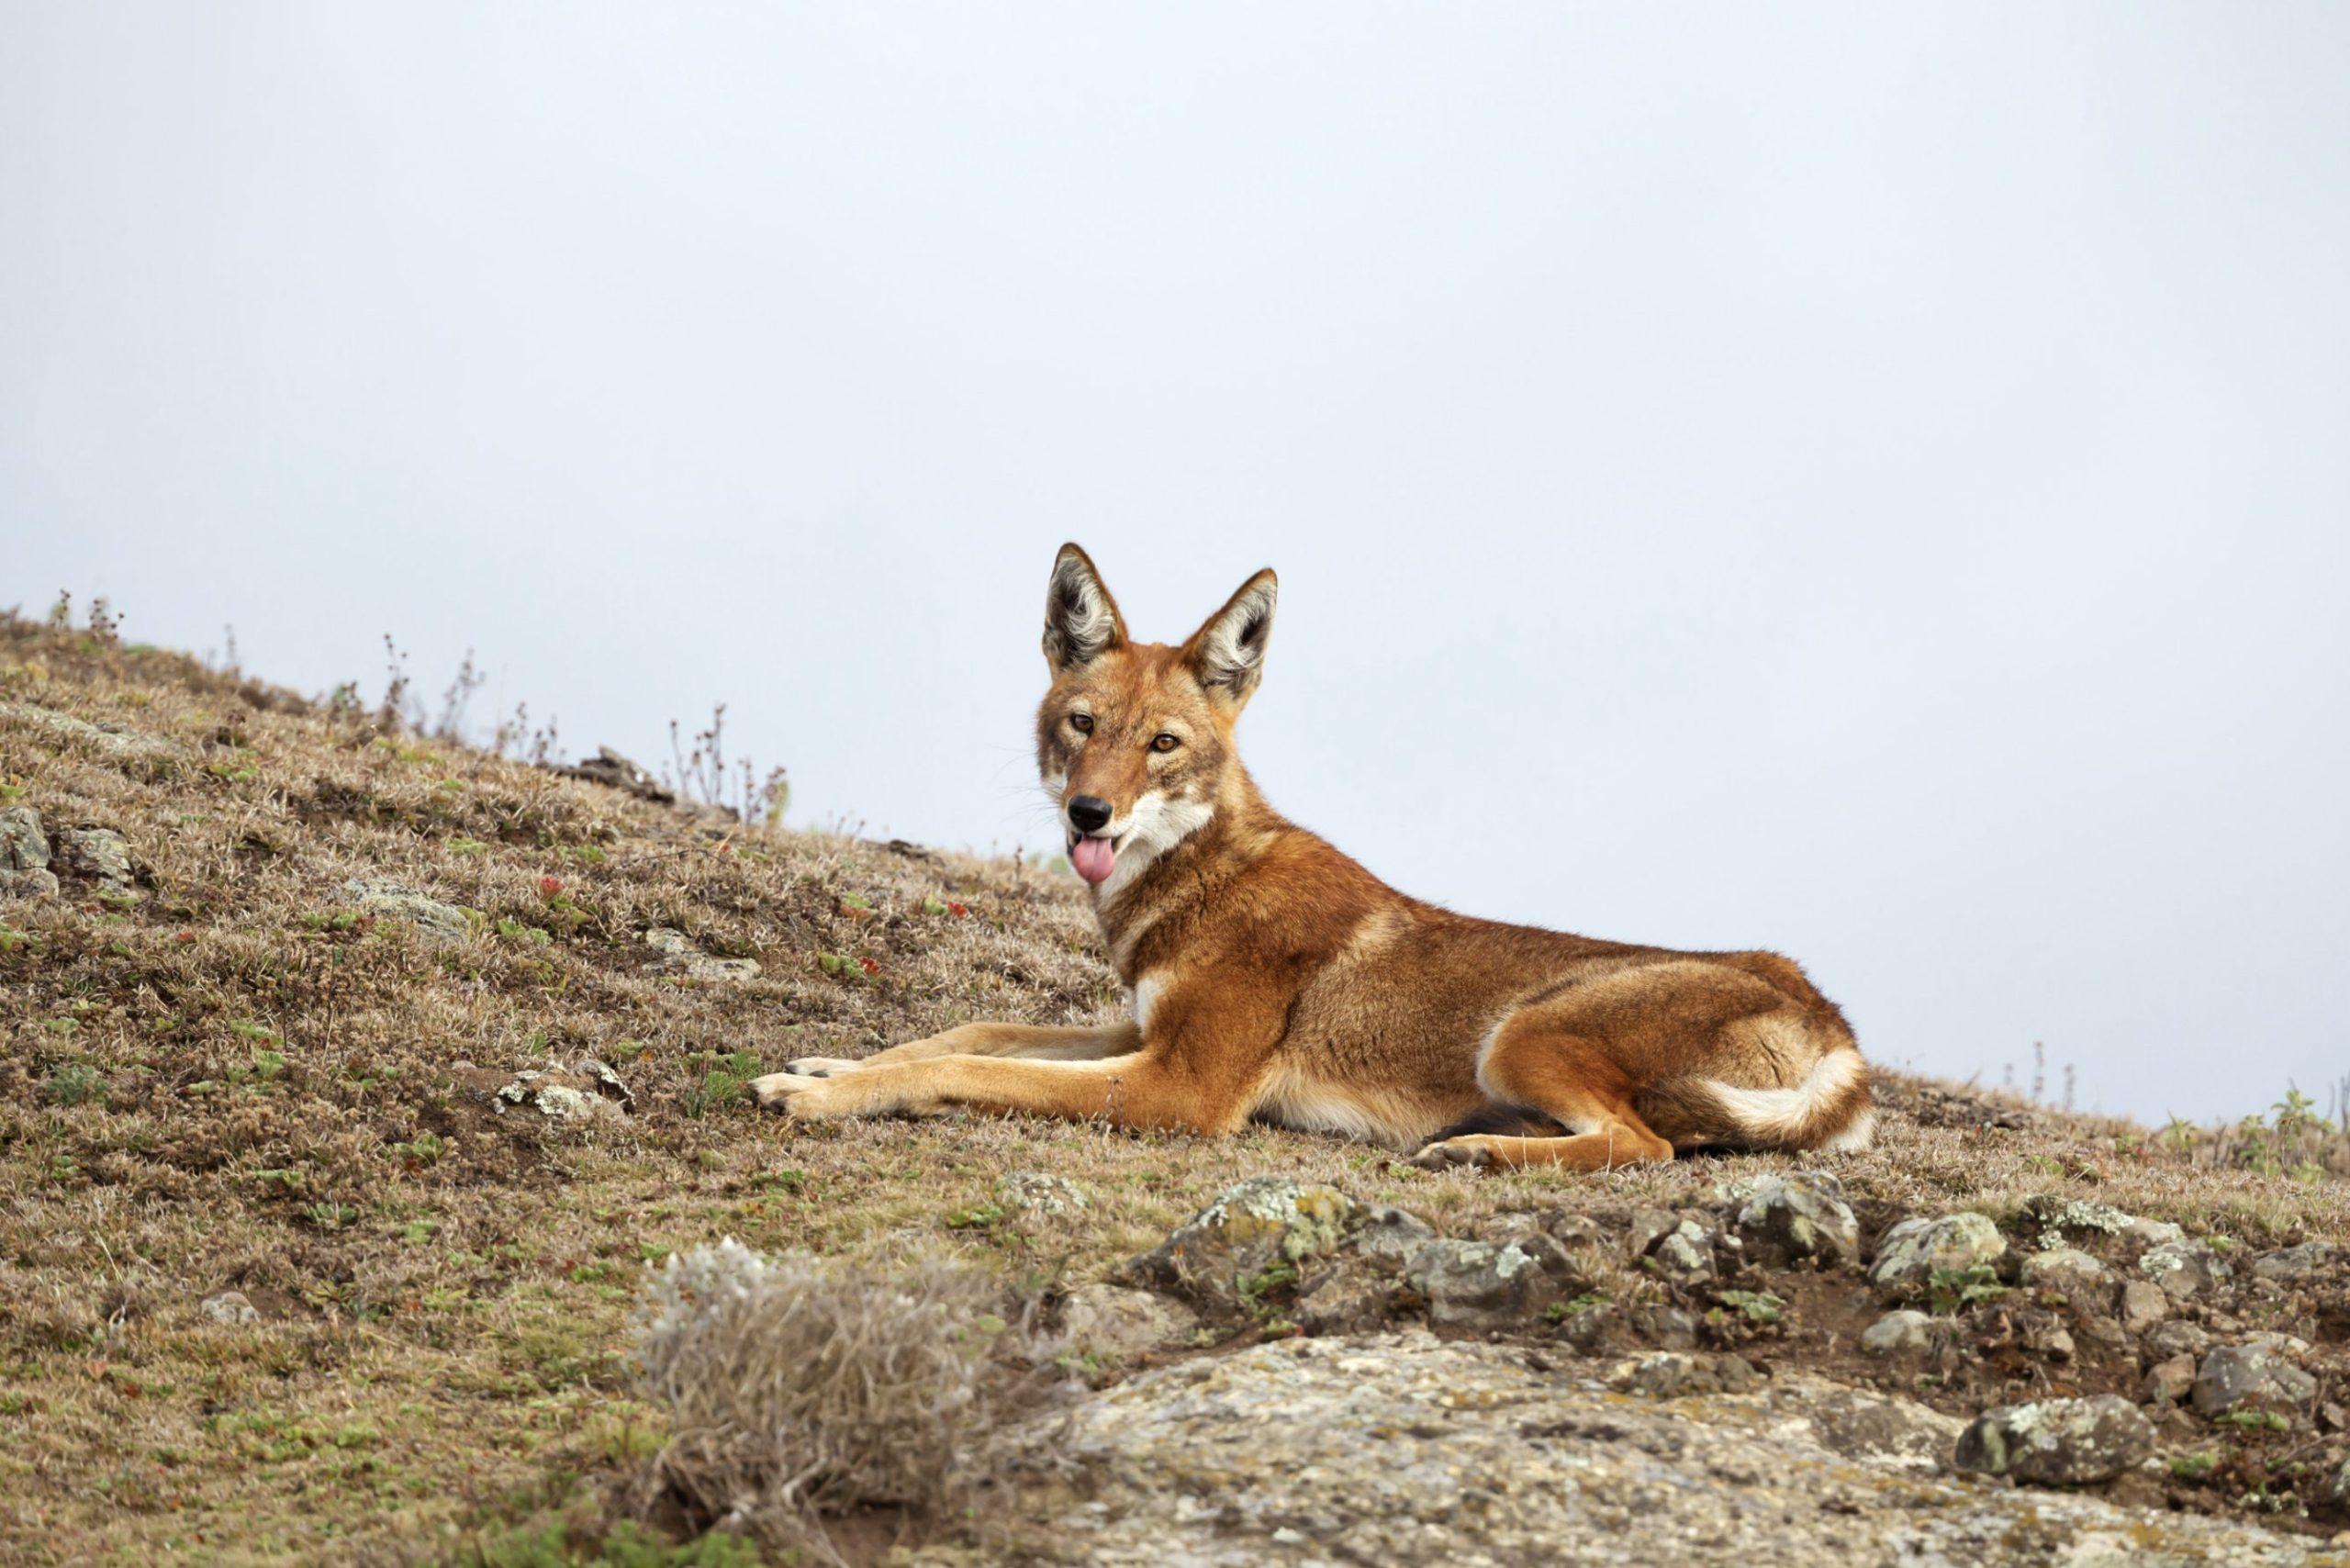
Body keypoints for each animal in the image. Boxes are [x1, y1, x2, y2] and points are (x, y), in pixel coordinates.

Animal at [752, 544, 1873, 1168]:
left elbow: (967, 1066)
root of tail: (1828, 1013)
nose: (1088, 814)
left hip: (1518, 1038)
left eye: (1163, 743)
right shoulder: (1140, 1031)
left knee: (1644, 1145)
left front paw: (819, 1096)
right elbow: (975, 1031)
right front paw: (825, 1062)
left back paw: (1474, 1153)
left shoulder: (1185, 1089)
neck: (1201, 882)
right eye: (1082, 724)